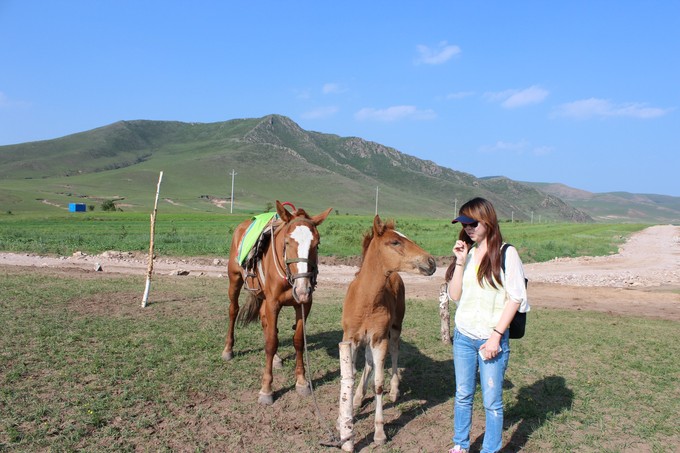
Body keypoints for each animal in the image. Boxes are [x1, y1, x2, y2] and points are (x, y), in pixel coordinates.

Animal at [223, 200, 332, 404]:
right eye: (287, 242)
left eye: (317, 243)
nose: (303, 289)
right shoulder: (273, 303)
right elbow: (272, 342)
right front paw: (266, 389)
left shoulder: (304, 305)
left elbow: (298, 340)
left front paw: (302, 381)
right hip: (234, 280)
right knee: (233, 310)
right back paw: (228, 350)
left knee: (265, 321)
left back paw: (275, 359)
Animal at [340, 214, 436, 444]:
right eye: (395, 242)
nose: (431, 262)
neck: (366, 301)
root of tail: (394, 275)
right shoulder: (351, 338)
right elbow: (352, 374)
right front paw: (346, 417)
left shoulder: (380, 338)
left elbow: (378, 383)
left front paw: (379, 432)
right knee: (368, 362)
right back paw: (358, 397)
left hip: (395, 328)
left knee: (394, 351)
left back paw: (394, 390)